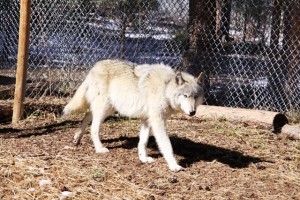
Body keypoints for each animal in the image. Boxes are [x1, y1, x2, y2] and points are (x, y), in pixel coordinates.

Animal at [62, 59, 204, 172]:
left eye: (195, 97)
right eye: (185, 96)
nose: (192, 112)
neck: (165, 87)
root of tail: (96, 66)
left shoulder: (147, 120)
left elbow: (143, 141)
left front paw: (143, 158)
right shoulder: (158, 121)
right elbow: (167, 145)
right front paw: (174, 165)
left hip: (109, 109)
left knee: (87, 115)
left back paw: (77, 138)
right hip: (104, 109)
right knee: (93, 128)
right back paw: (99, 148)